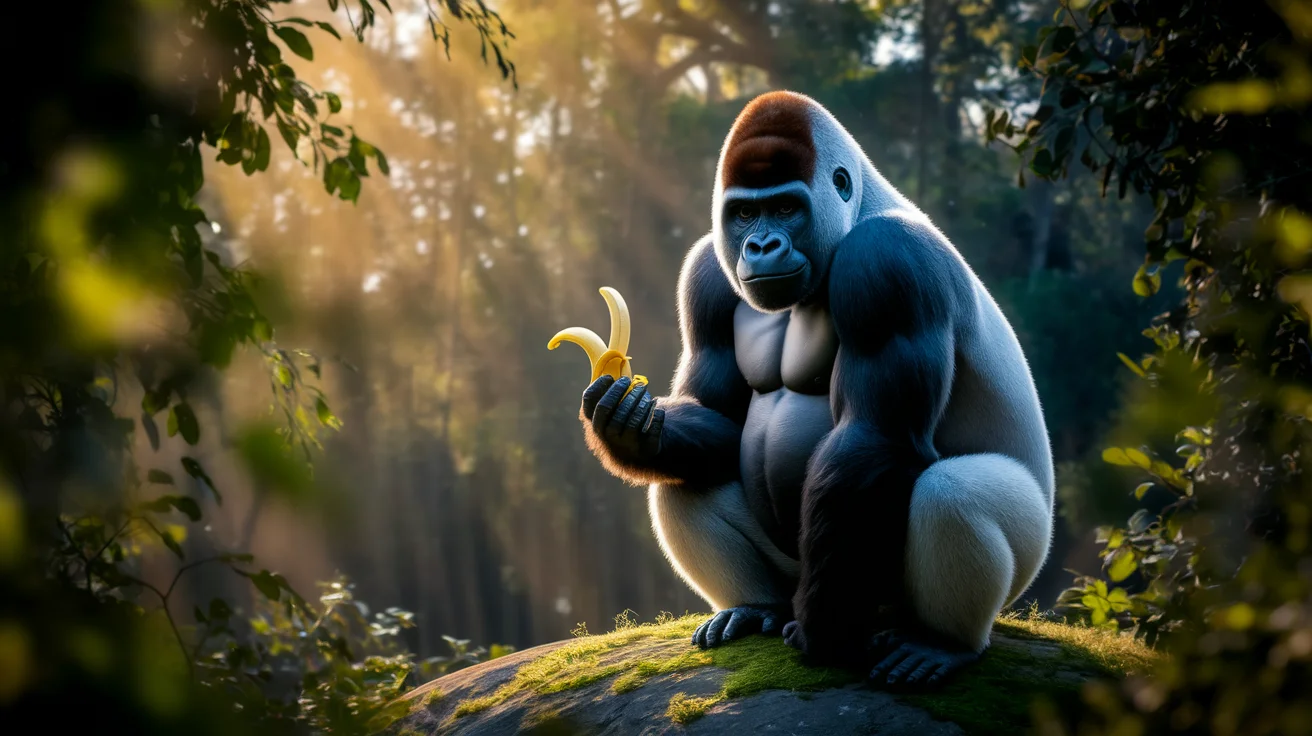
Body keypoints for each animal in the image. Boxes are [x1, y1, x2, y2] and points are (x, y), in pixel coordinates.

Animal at [575, 90, 1054, 688]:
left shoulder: (887, 258)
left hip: (1015, 559)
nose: (760, 245)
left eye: (785, 209)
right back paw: (753, 607)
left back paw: (939, 643)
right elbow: (719, 416)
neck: (859, 207)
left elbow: (872, 437)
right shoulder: (707, 268)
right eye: (744, 214)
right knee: (683, 484)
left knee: (952, 491)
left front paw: (823, 633)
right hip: (793, 573)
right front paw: (631, 430)